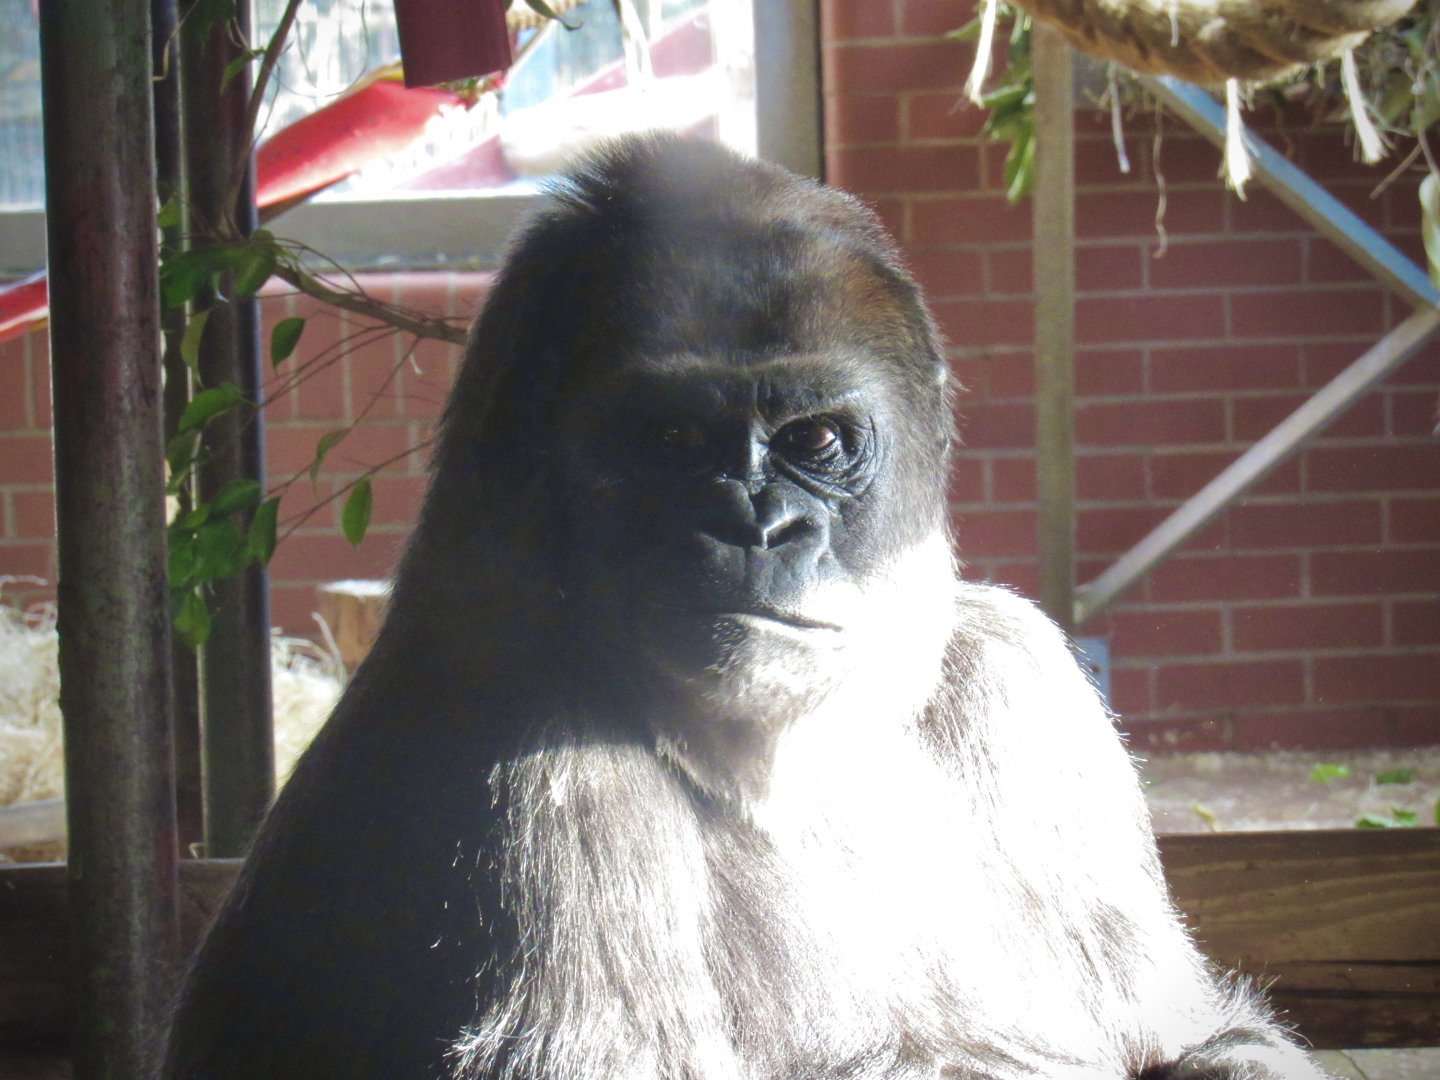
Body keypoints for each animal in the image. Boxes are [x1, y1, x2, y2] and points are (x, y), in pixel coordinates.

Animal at [162, 135, 1332, 1080]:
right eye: (672, 441)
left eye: (817, 441)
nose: (759, 527)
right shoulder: (520, 762)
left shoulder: (1017, 672)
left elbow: (1191, 1032)